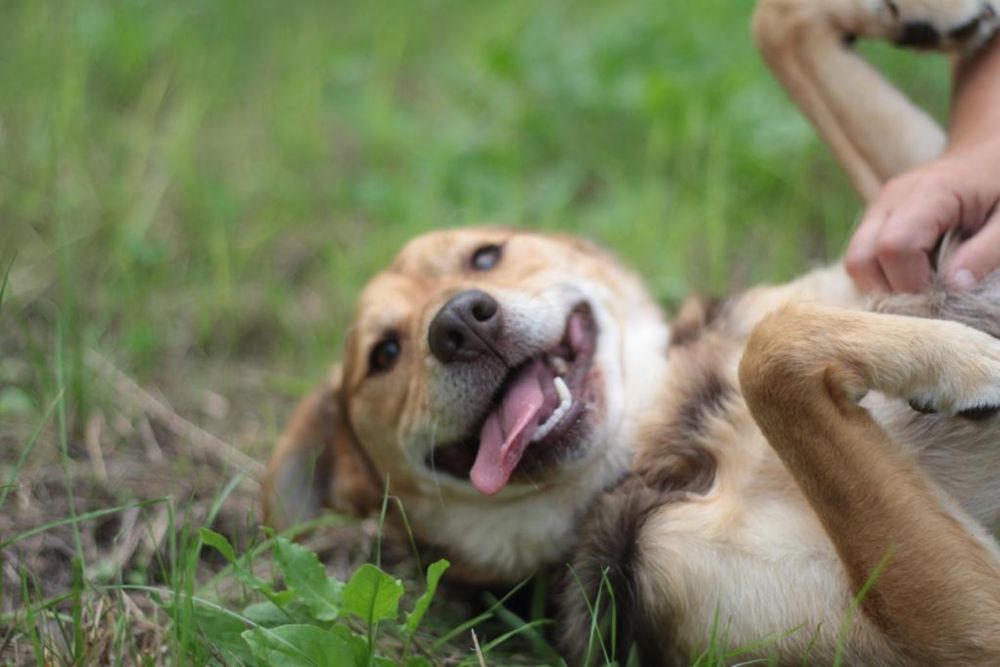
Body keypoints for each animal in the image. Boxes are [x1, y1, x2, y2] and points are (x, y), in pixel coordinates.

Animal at [264, 0, 1000, 664]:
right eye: (384, 355)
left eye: (485, 256)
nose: (459, 323)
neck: (664, 427)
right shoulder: (957, 629)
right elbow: (769, 354)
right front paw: (965, 361)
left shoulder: (903, 233)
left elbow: (779, 26)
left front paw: (931, 16)